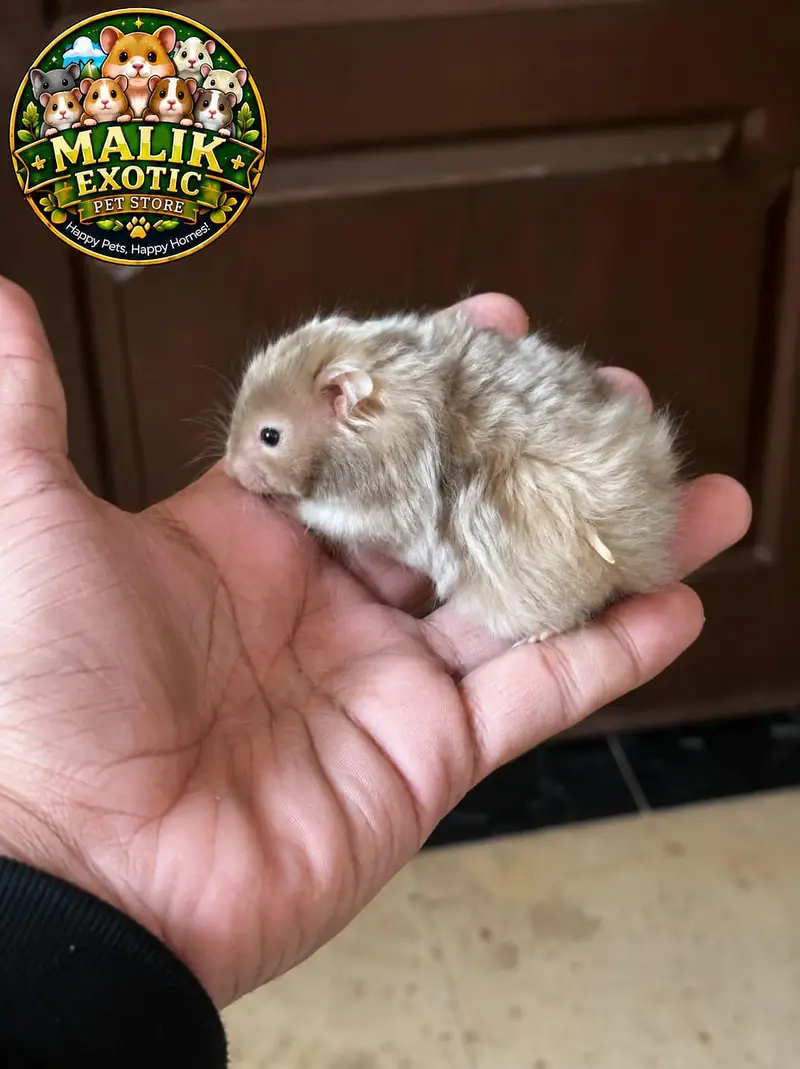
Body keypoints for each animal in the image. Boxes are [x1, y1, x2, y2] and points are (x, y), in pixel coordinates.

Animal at [224, 311, 682, 644]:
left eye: (270, 436)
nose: (229, 470)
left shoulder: (382, 507)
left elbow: (325, 514)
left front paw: (288, 504)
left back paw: (536, 637)